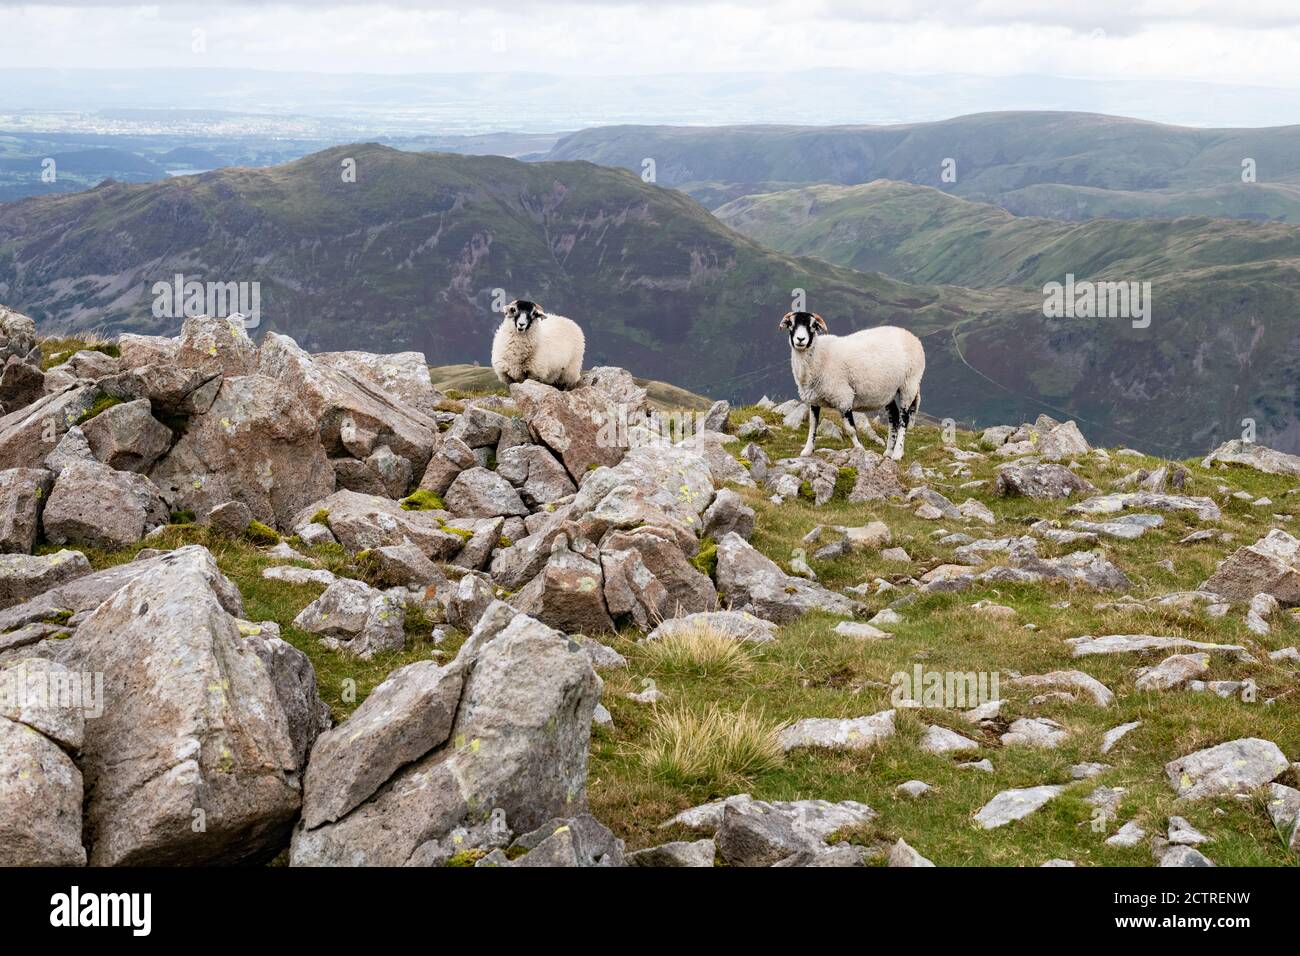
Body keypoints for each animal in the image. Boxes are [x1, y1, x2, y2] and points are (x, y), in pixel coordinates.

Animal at [779, 310, 925, 461]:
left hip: (909, 385)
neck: (819, 356)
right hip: (889, 391)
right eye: (791, 324)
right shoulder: (814, 400)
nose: (800, 339)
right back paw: (889, 452)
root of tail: (911, 336)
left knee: (904, 419)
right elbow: (812, 426)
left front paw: (860, 449)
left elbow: (850, 429)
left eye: (813, 325)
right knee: (894, 418)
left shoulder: (843, 397)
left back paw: (897, 453)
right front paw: (807, 450)